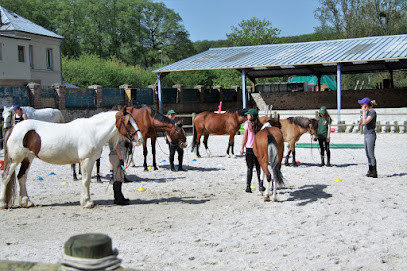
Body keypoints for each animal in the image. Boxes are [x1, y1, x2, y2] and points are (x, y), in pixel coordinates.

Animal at [0, 107, 143, 210]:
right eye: (128, 122)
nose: (140, 140)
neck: (93, 131)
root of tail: (13, 128)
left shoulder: (90, 161)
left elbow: (86, 180)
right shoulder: (86, 160)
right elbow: (86, 181)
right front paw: (87, 203)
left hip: (27, 158)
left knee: (21, 177)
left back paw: (27, 202)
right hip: (14, 160)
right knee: (6, 177)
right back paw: (3, 204)